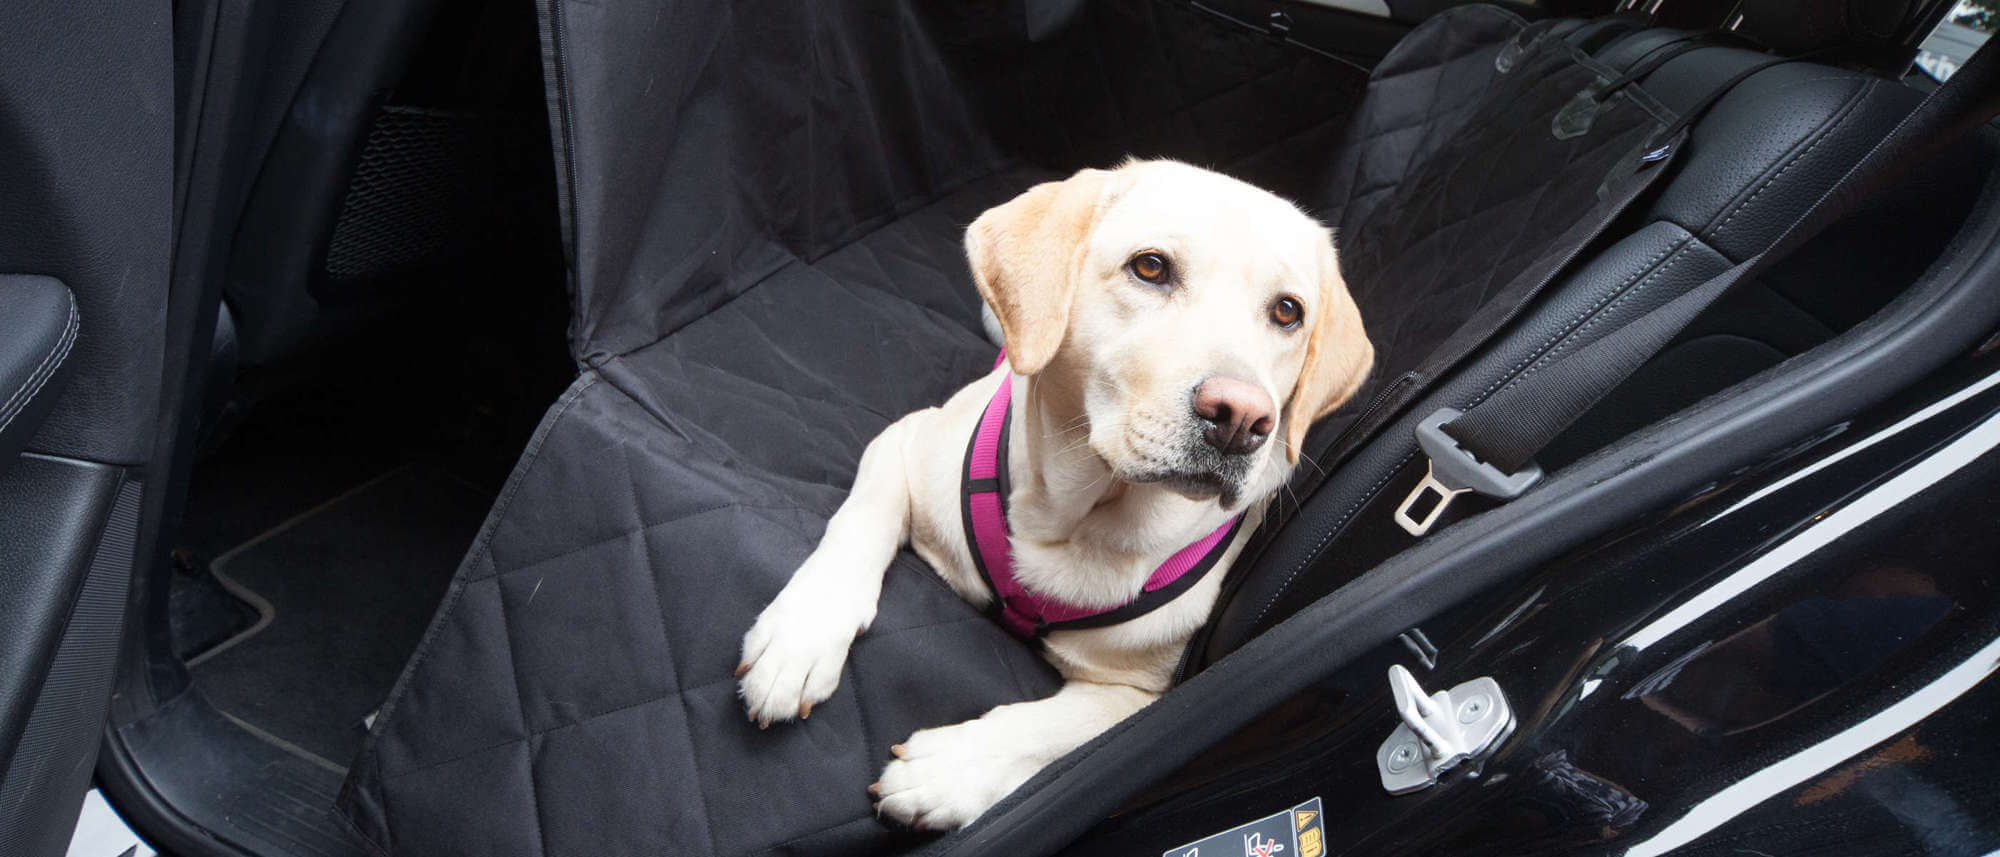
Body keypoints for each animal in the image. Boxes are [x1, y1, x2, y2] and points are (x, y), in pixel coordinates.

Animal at [740, 159, 1376, 828]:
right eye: (1151, 267)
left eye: (1287, 312)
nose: (1241, 419)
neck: (1073, 519)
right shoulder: (906, 443)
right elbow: (857, 528)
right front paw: (799, 639)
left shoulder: (1147, 694)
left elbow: (1056, 729)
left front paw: (951, 770)